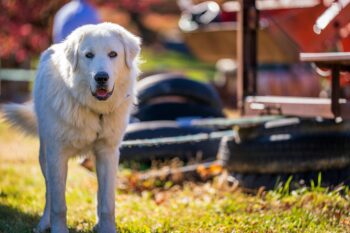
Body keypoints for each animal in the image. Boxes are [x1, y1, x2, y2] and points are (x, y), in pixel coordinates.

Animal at [2, 22, 141, 233]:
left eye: (113, 54)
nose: (101, 77)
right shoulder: (56, 155)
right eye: (89, 55)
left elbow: (107, 202)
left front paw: (107, 228)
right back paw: (44, 224)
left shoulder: (108, 153)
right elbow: (58, 203)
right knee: (49, 193)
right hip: (44, 156)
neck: (93, 110)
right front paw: (58, 229)